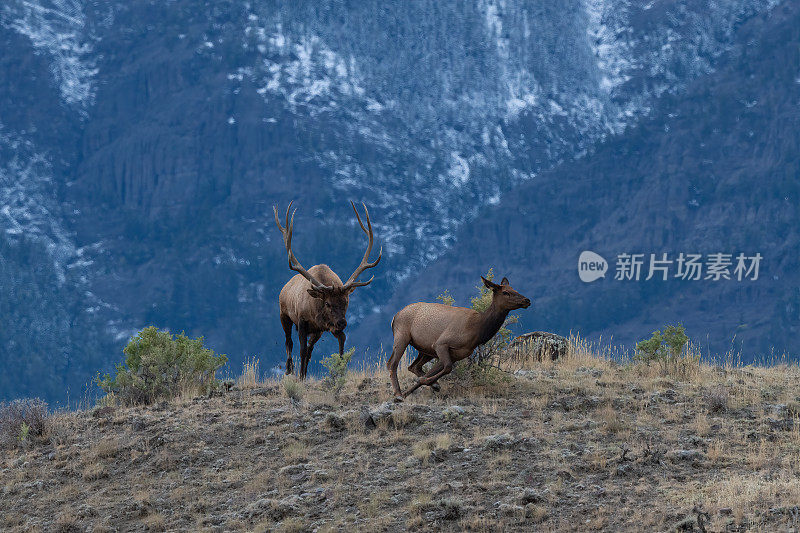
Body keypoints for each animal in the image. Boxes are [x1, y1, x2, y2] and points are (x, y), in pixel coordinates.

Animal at [276, 200, 382, 378]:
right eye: (328, 304)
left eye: (346, 302)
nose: (342, 322)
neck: (314, 310)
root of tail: (284, 287)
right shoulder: (302, 320)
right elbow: (301, 350)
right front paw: (299, 377)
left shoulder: (326, 326)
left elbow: (340, 342)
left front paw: (340, 372)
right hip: (284, 315)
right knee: (288, 342)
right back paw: (289, 369)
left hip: (318, 331)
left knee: (309, 349)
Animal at [390, 276, 532, 396]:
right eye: (506, 292)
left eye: (514, 289)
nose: (527, 300)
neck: (478, 332)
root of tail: (395, 316)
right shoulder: (440, 343)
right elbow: (447, 367)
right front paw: (410, 390)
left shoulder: (456, 355)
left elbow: (437, 370)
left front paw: (426, 385)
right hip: (402, 336)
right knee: (392, 363)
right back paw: (398, 393)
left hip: (425, 350)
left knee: (413, 366)